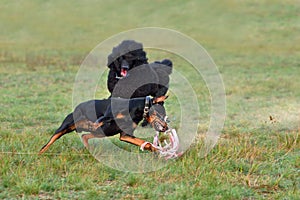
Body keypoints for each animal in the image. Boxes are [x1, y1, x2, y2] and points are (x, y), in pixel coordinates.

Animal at [38, 96, 168, 154]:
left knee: (85, 136)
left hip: (102, 133)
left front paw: (154, 149)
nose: (166, 127)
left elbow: (144, 143)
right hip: (64, 128)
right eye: (161, 114)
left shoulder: (125, 135)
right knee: (47, 144)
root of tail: (77, 107)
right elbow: (100, 120)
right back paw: (39, 154)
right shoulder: (107, 115)